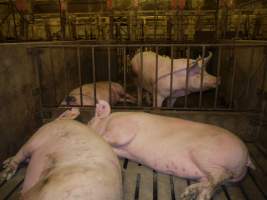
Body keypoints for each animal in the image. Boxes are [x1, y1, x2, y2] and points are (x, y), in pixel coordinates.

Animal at [88, 100, 255, 200]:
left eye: (89, 122)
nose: (86, 125)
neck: (108, 120)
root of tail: (247, 156)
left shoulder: (122, 128)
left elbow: (113, 137)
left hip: (205, 156)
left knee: (219, 176)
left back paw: (198, 196)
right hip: (211, 173)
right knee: (211, 181)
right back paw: (188, 194)